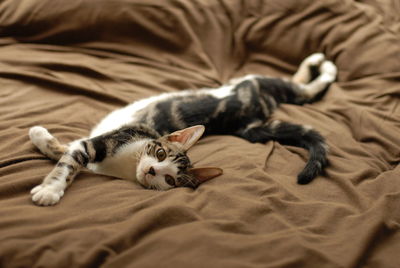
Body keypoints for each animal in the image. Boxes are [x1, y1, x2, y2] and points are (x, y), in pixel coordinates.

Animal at [29, 53, 338, 206]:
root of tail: (247, 120)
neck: (124, 166)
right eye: (161, 153)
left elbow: (67, 161)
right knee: (296, 86)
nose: (152, 170)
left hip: (254, 84)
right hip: (253, 86)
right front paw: (42, 139)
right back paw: (317, 62)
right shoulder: (97, 142)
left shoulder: (98, 143)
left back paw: (326, 67)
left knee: (303, 89)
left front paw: (49, 191)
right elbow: (68, 154)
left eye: (170, 180)